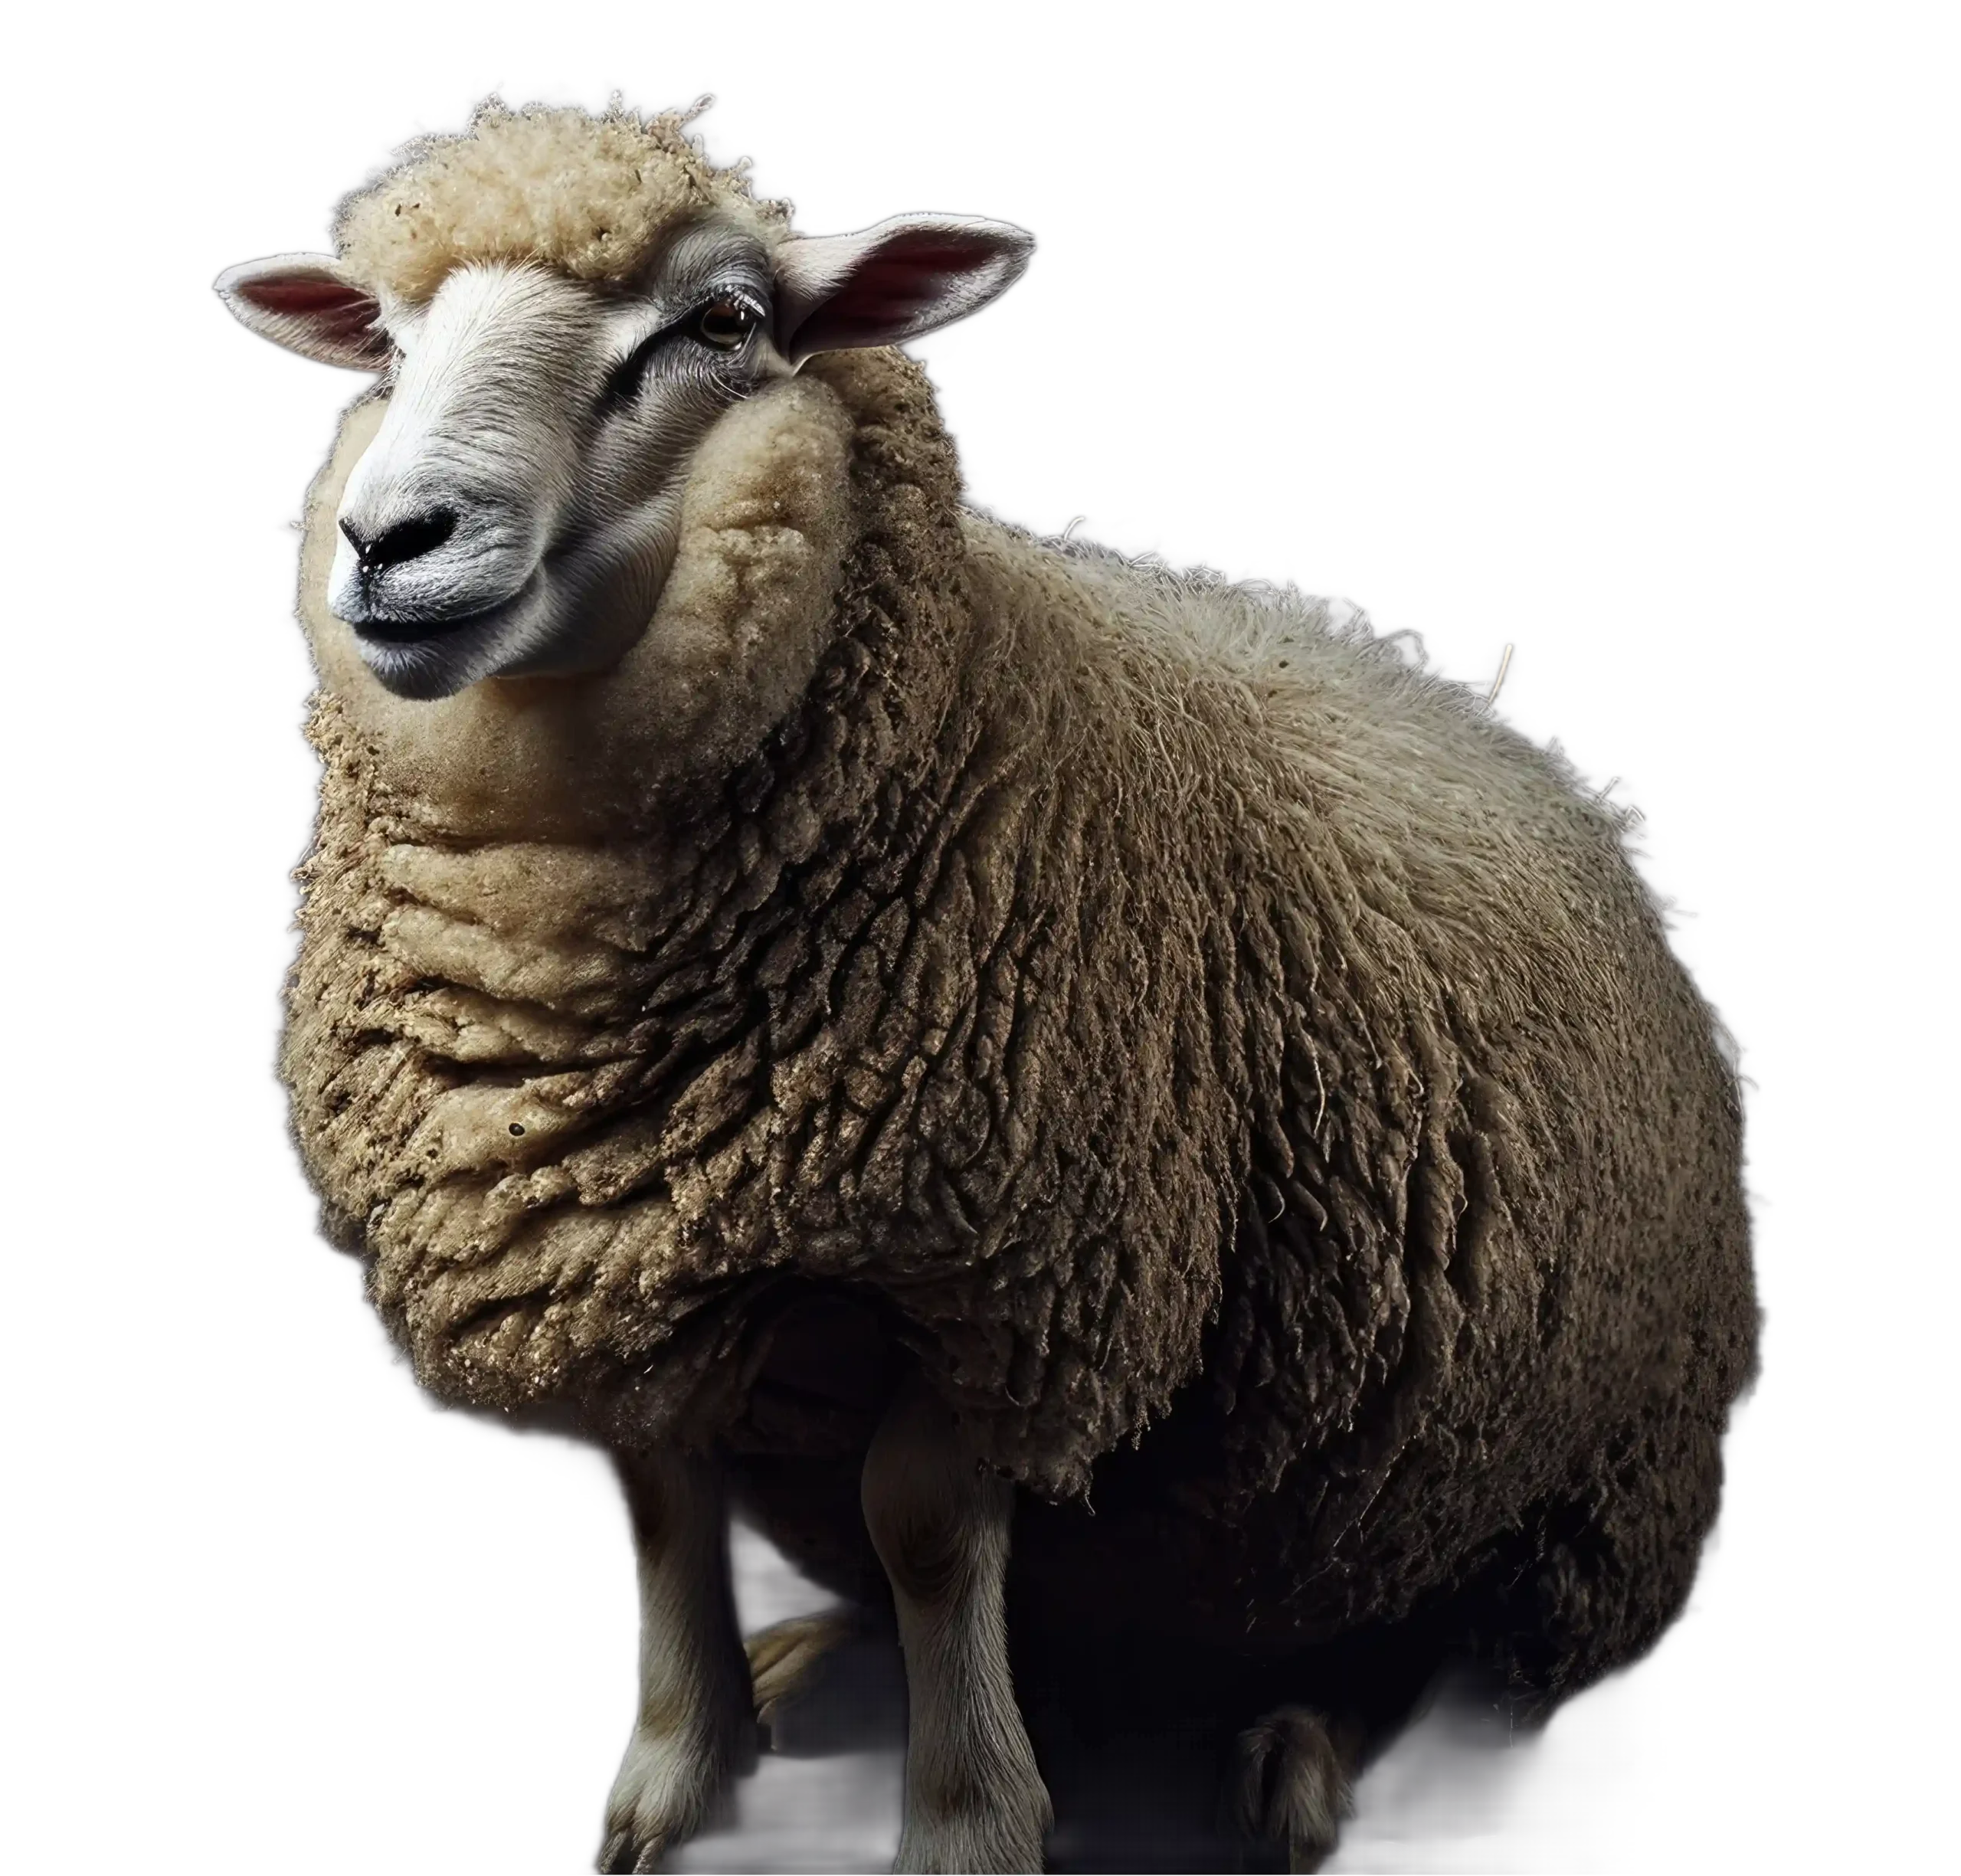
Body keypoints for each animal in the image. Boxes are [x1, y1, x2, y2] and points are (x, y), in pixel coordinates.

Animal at [219, 96, 1762, 1874]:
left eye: (722, 323)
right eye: (388, 346)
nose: (384, 542)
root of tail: (1503, 731)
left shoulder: (1017, 1275)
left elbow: (929, 1530)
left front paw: (967, 1817)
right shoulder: (603, 1257)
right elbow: (666, 1493)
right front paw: (681, 1773)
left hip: (1536, 1490)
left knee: (1422, 1651)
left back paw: (1302, 1752)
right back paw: (824, 1664)